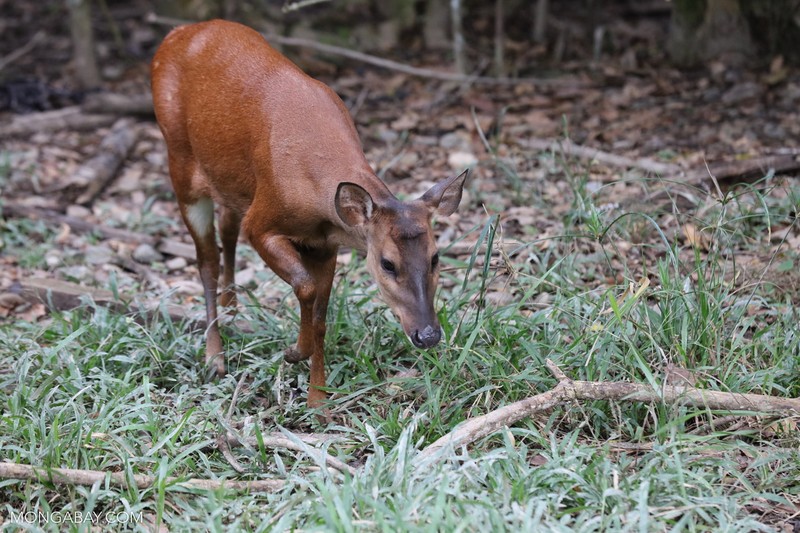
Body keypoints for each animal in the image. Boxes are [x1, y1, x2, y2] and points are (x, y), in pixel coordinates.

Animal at [152, 18, 468, 406]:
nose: (428, 335)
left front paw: (317, 399)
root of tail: (178, 32)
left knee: (226, 227)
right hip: (180, 163)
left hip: (229, 181)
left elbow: (320, 315)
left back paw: (233, 307)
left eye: (436, 257)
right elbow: (304, 286)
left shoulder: (326, 242)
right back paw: (215, 357)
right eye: (387, 263)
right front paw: (294, 354)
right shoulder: (261, 221)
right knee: (206, 259)